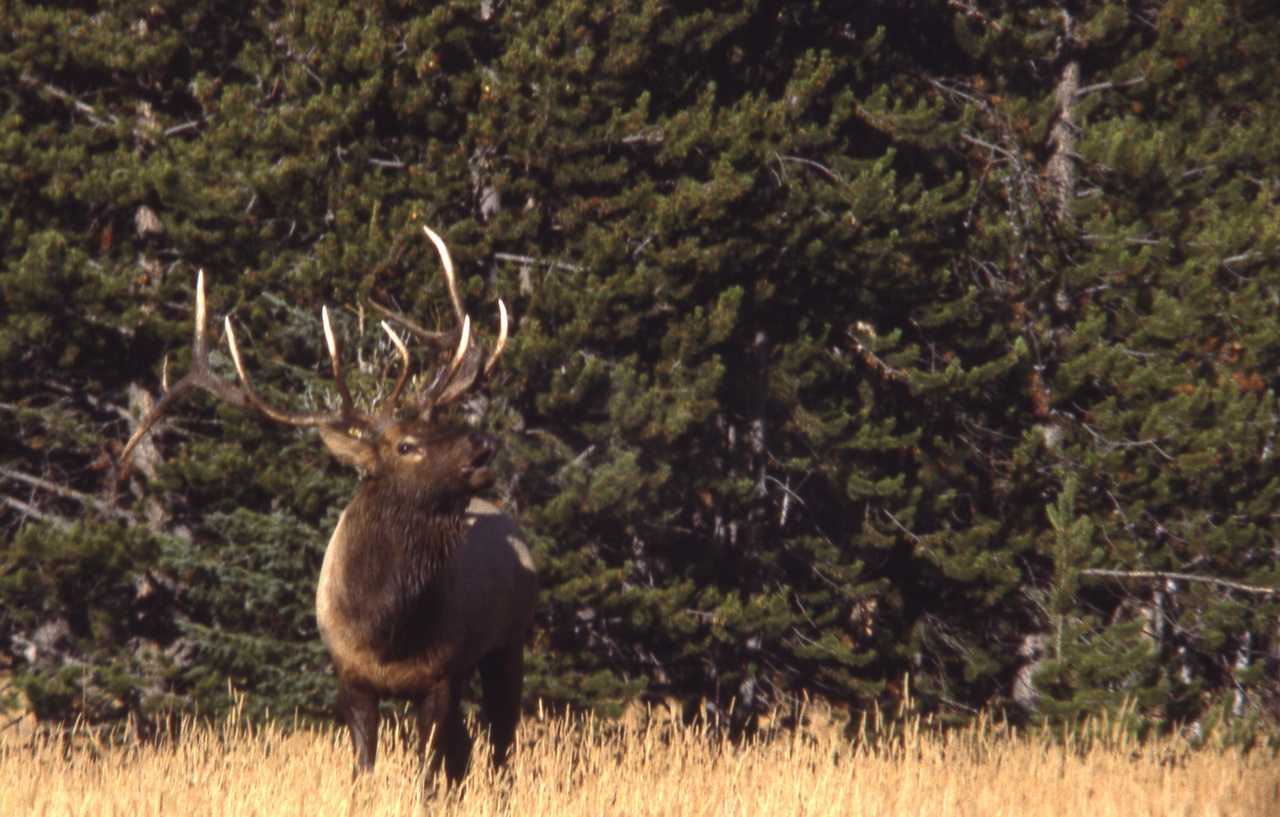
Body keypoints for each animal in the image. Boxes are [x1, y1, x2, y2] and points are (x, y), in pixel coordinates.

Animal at [119, 227, 535, 788]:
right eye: (406, 445)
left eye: (438, 426)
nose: (483, 445)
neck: (386, 629)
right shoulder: (350, 674)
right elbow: (364, 771)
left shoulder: (441, 674)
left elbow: (428, 777)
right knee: (471, 749)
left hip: (510, 641)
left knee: (501, 748)